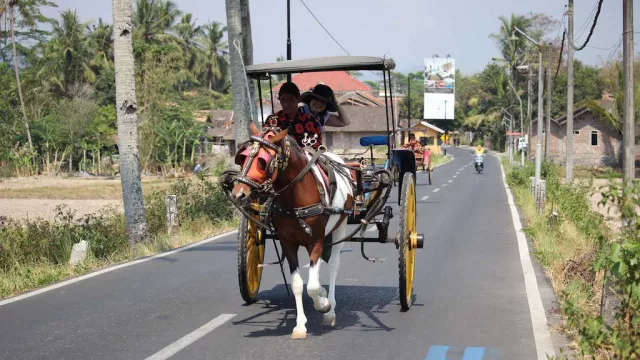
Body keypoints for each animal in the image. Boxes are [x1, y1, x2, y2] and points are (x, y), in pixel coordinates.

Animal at [230, 122, 356, 338]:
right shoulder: (287, 242)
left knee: (333, 264)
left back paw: (330, 308)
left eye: (262, 161)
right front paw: (299, 325)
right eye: (243, 157)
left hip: (341, 224)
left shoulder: (316, 240)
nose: (238, 194)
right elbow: (298, 284)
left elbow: (312, 285)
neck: (296, 195)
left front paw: (323, 305)